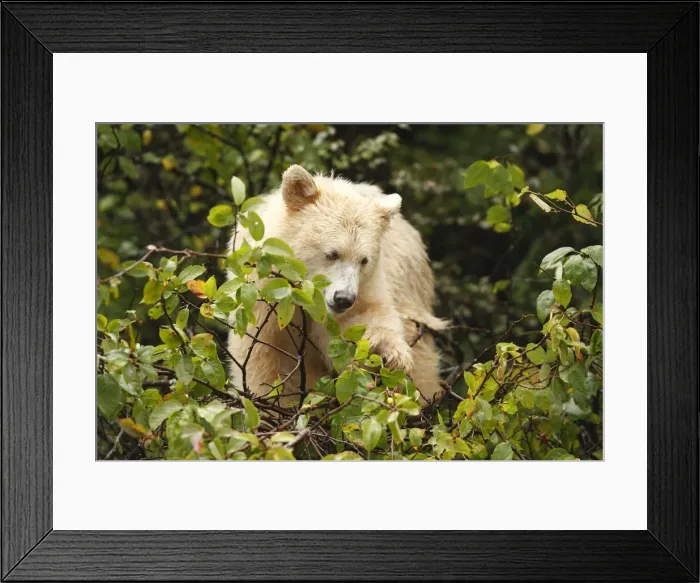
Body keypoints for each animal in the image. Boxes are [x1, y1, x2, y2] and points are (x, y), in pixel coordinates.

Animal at [226, 164, 446, 403]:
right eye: (331, 254)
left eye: (363, 260)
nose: (343, 299)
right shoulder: (264, 301)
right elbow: (268, 358)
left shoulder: (367, 284)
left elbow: (358, 321)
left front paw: (387, 351)